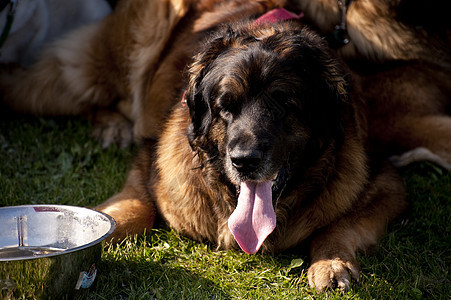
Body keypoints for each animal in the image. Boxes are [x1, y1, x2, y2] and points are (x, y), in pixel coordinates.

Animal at [97, 21, 408, 292]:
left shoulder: (385, 182)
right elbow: (136, 209)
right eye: (225, 106)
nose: (244, 161)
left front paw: (332, 262)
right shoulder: (149, 164)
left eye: (283, 105)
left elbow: (339, 225)